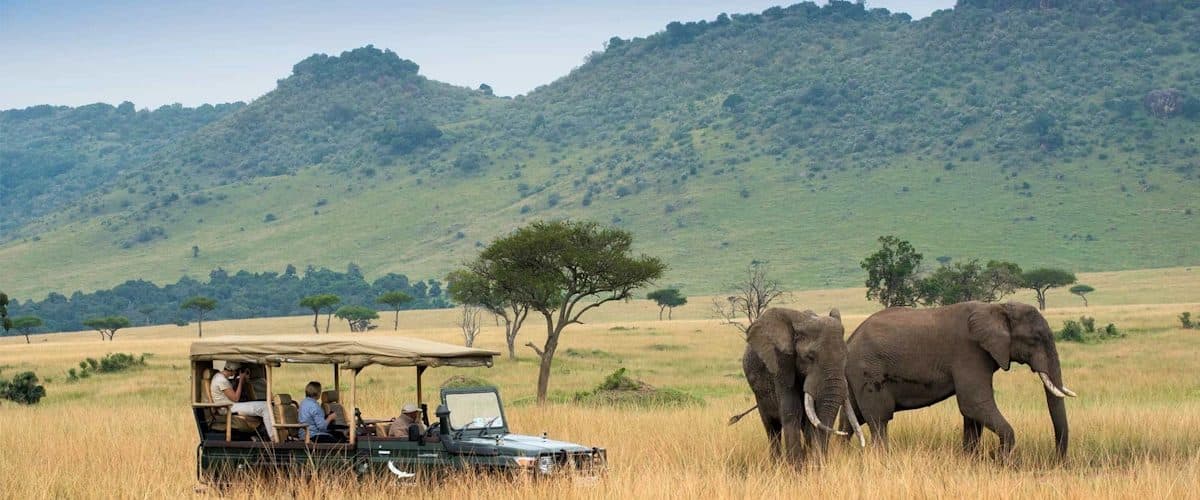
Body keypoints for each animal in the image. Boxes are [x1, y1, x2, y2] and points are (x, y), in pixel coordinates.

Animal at [738, 307, 865, 465]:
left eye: (846, 356)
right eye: (810, 357)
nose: (821, 462)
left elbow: (813, 419)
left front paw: (810, 465)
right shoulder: (781, 363)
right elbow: (792, 411)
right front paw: (796, 468)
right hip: (758, 393)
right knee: (772, 428)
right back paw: (776, 464)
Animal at [842, 301, 1075, 459]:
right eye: (1035, 339)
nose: (1056, 461)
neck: (997, 308)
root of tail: (851, 339)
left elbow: (973, 413)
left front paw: (972, 459)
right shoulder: (969, 352)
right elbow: (974, 403)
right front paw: (1000, 459)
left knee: (851, 419)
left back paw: (839, 453)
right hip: (868, 370)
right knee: (879, 419)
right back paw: (882, 458)